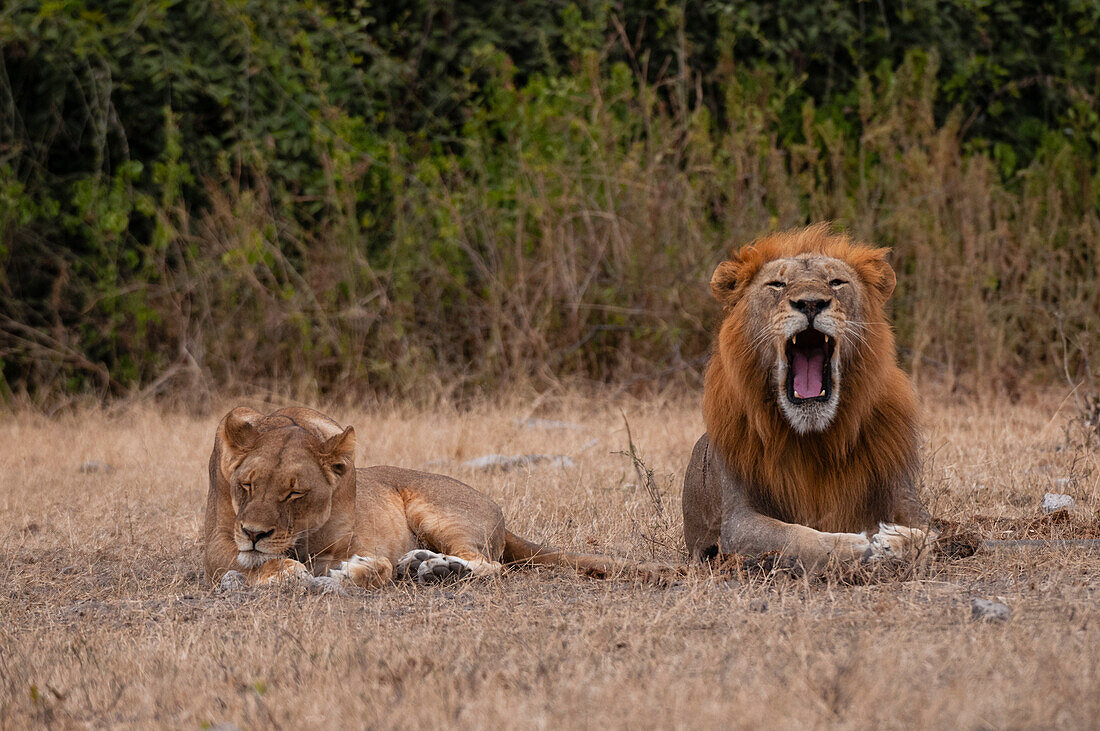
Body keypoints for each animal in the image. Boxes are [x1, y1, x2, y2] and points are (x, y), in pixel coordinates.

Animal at [205, 406, 651, 584]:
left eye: (295, 493)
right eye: (246, 485)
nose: (254, 533)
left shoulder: (342, 545)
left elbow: (371, 566)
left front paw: (354, 573)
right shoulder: (216, 546)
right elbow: (258, 562)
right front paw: (282, 567)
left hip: (436, 511)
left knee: (490, 564)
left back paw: (439, 569)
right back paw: (421, 563)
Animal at [682, 225, 932, 567]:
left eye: (836, 282)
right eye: (777, 284)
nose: (811, 303)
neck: (813, 437)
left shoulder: (907, 501)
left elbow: (933, 536)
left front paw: (894, 539)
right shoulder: (737, 523)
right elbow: (796, 537)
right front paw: (852, 543)